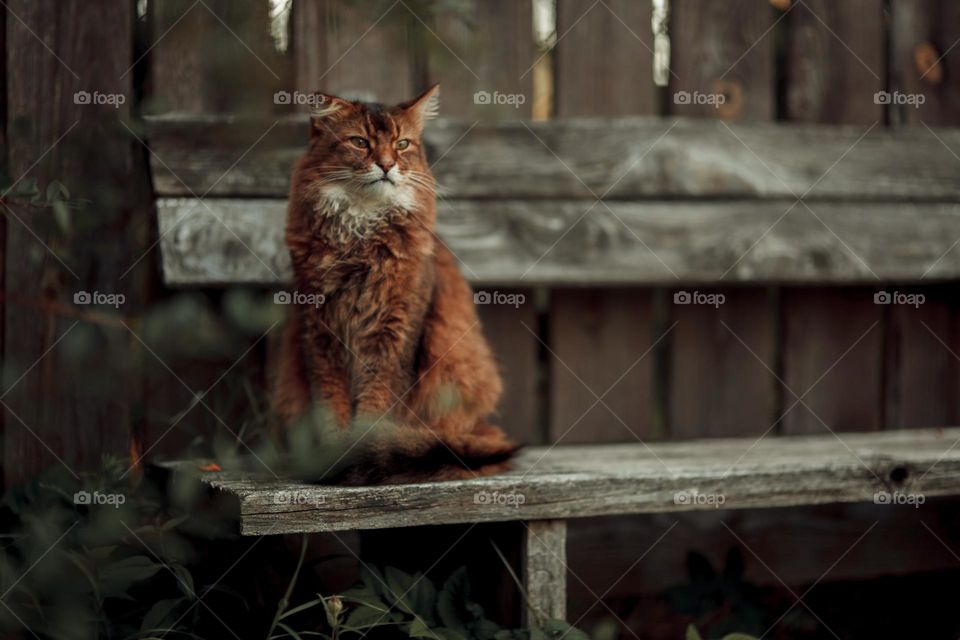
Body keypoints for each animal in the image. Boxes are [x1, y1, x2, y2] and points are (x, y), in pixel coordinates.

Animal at [270, 86, 516, 484]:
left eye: (402, 144)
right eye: (360, 142)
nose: (386, 165)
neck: (361, 235)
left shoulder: (394, 331)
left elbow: (377, 405)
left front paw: (362, 456)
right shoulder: (320, 331)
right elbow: (331, 403)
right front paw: (336, 458)